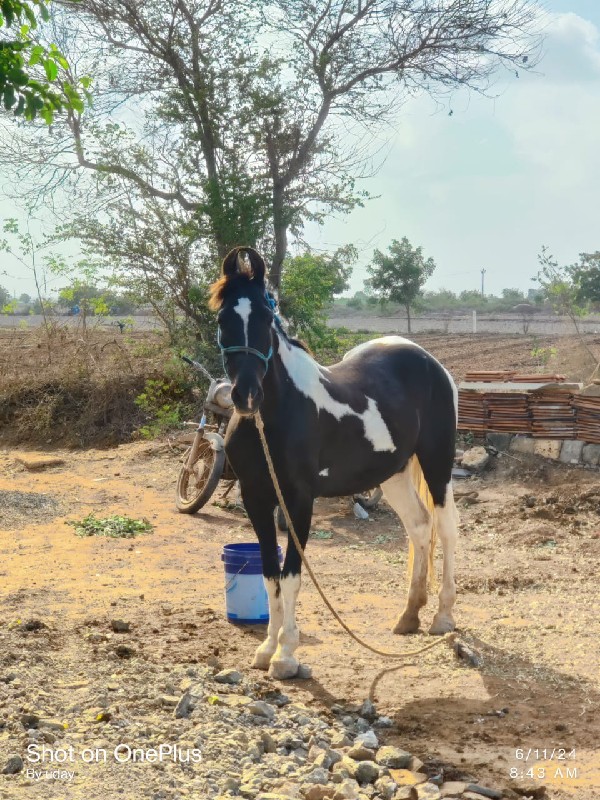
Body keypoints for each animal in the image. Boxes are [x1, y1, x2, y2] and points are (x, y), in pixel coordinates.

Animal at [211, 247, 460, 680]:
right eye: (223, 319)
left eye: (265, 318)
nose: (246, 396)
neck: (275, 416)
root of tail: (431, 364)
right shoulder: (256, 498)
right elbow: (270, 574)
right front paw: (266, 649)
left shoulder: (298, 501)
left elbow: (293, 576)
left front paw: (286, 656)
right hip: (393, 473)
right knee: (419, 526)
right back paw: (409, 616)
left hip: (437, 464)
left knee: (445, 529)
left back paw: (442, 617)